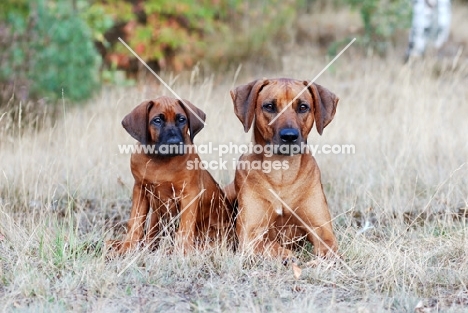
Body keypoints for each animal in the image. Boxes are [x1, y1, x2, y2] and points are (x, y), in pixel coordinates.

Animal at [109, 95, 234, 254]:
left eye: (181, 119)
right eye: (157, 120)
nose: (174, 142)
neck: (160, 160)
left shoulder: (189, 193)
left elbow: (185, 226)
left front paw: (182, 251)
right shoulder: (140, 190)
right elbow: (135, 222)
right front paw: (127, 247)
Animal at [230, 78, 340, 260]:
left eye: (303, 107)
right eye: (269, 106)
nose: (289, 136)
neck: (282, 172)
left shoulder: (322, 229)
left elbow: (329, 249)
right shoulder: (250, 234)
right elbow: (271, 246)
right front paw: (287, 257)